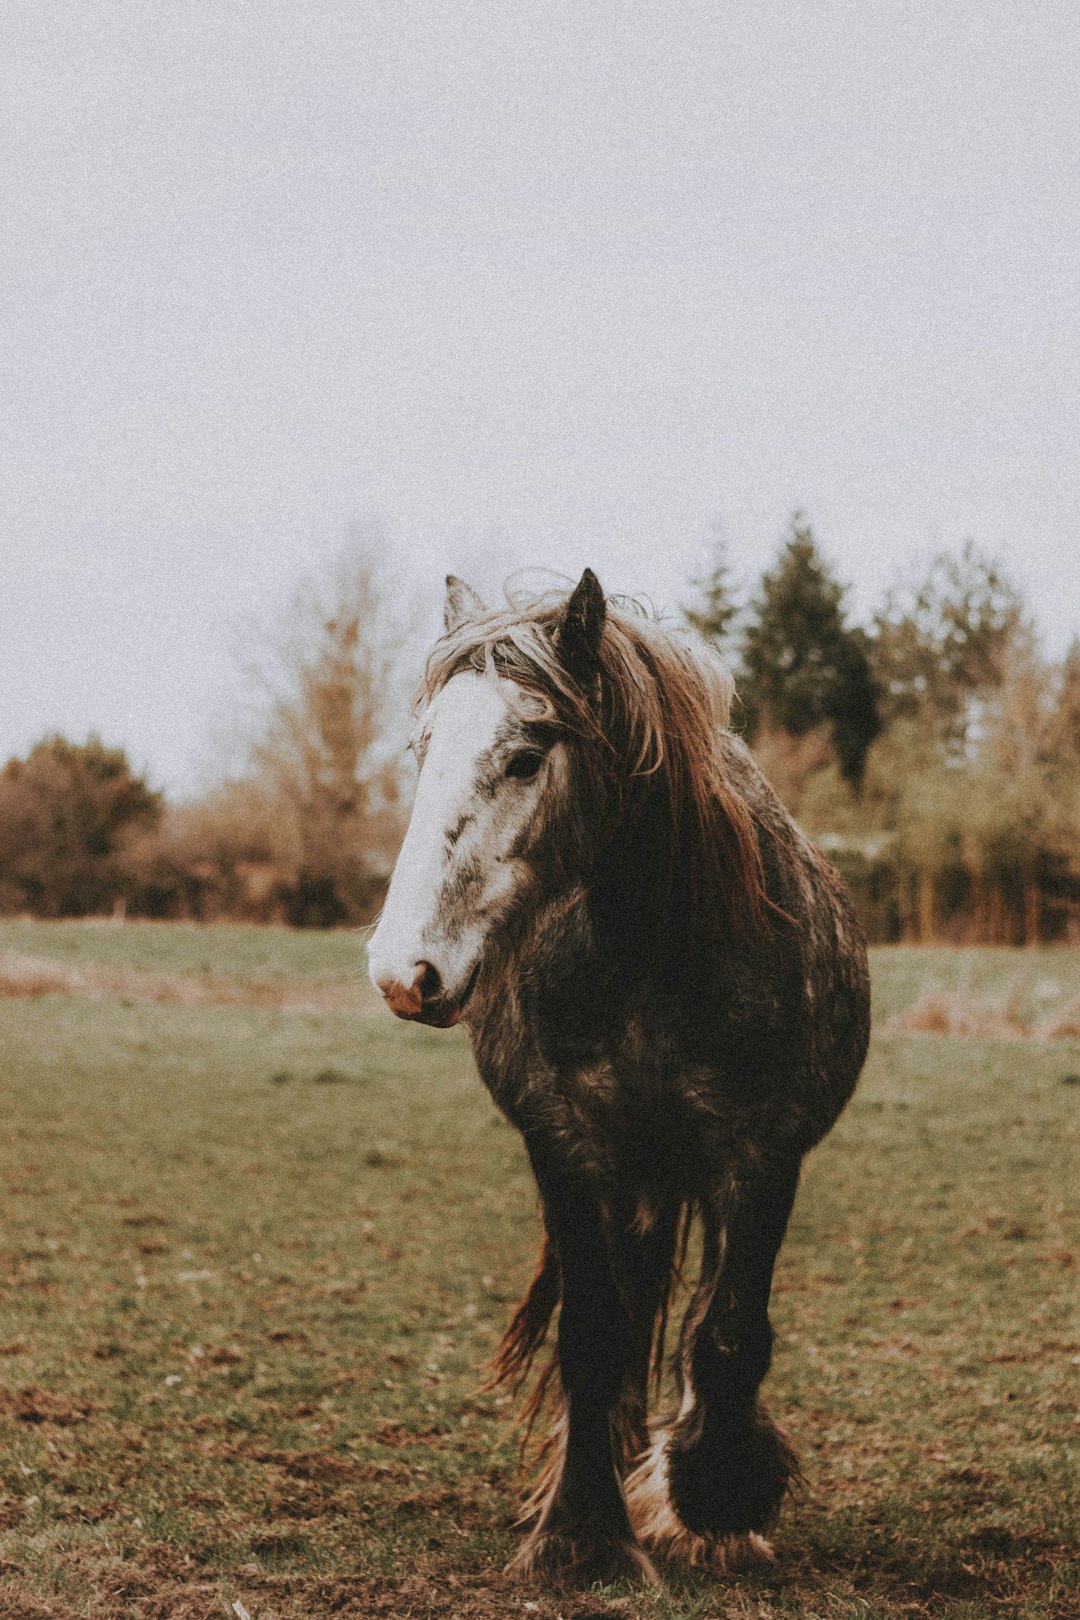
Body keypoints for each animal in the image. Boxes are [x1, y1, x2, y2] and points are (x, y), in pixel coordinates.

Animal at [367, 570, 874, 1581]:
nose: (405, 972)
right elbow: (595, 1338)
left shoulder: (761, 1154)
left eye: (528, 757)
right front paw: (579, 1529)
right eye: (423, 749)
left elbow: (727, 1334)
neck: (648, 956)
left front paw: (715, 1497)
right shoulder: (567, 1145)